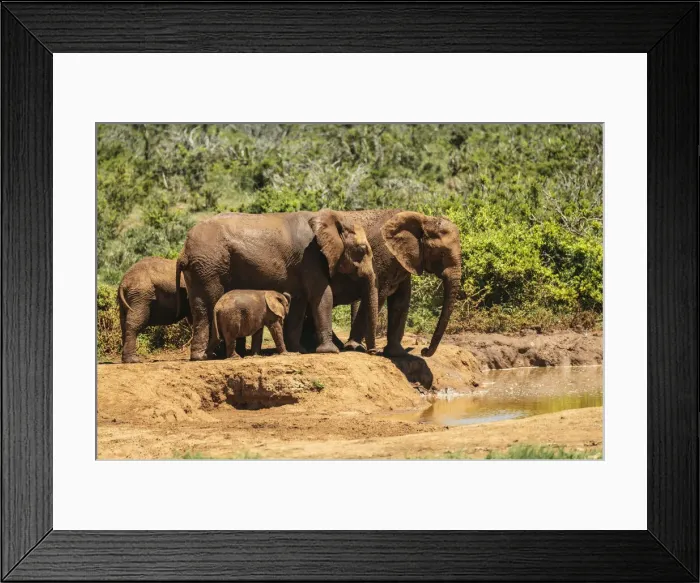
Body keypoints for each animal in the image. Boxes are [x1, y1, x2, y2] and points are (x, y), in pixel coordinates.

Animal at [176, 210, 378, 361]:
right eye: (362, 250)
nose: (372, 352)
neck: (331, 218)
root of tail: (183, 251)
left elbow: (299, 302)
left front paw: (299, 351)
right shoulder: (311, 257)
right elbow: (321, 296)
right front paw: (330, 351)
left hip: (200, 269)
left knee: (200, 307)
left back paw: (201, 357)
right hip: (209, 267)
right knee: (209, 303)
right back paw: (211, 356)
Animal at [301, 210, 462, 358]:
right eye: (441, 253)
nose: (424, 350)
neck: (424, 219)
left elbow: (401, 300)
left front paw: (396, 353)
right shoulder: (383, 256)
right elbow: (378, 296)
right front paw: (354, 347)